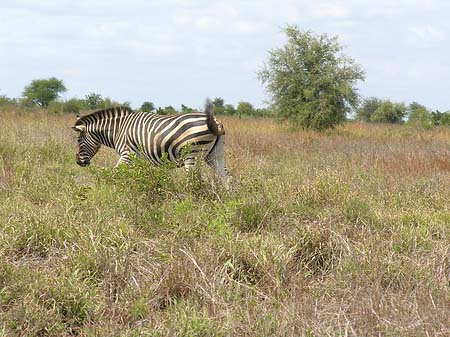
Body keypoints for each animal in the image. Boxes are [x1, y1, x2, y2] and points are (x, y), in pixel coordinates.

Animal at [73, 100, 232, 184]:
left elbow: (115, 173)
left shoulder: (127, 154)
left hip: (192, 154)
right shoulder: (137, 159)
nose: (79, 162)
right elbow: (136, 176)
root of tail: (216, 122)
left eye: (79, 140)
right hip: (214, 154)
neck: (118, 130)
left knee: (195, 181)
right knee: (227, 178)